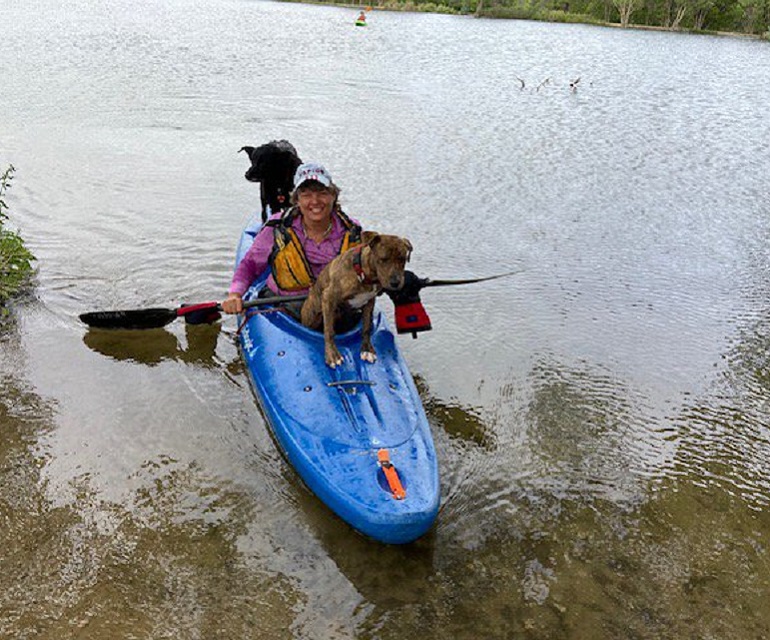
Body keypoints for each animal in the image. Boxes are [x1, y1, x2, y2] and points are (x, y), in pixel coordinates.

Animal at [298, 232, 412, 368]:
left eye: (402, 259)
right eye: (383, 259)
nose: (396, 283)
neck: (364, 275)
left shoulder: (370, 302)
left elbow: (366, 327)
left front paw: (367, 350)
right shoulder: (328, 297)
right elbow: (329, 330)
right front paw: (332, 354)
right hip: (312, 317)